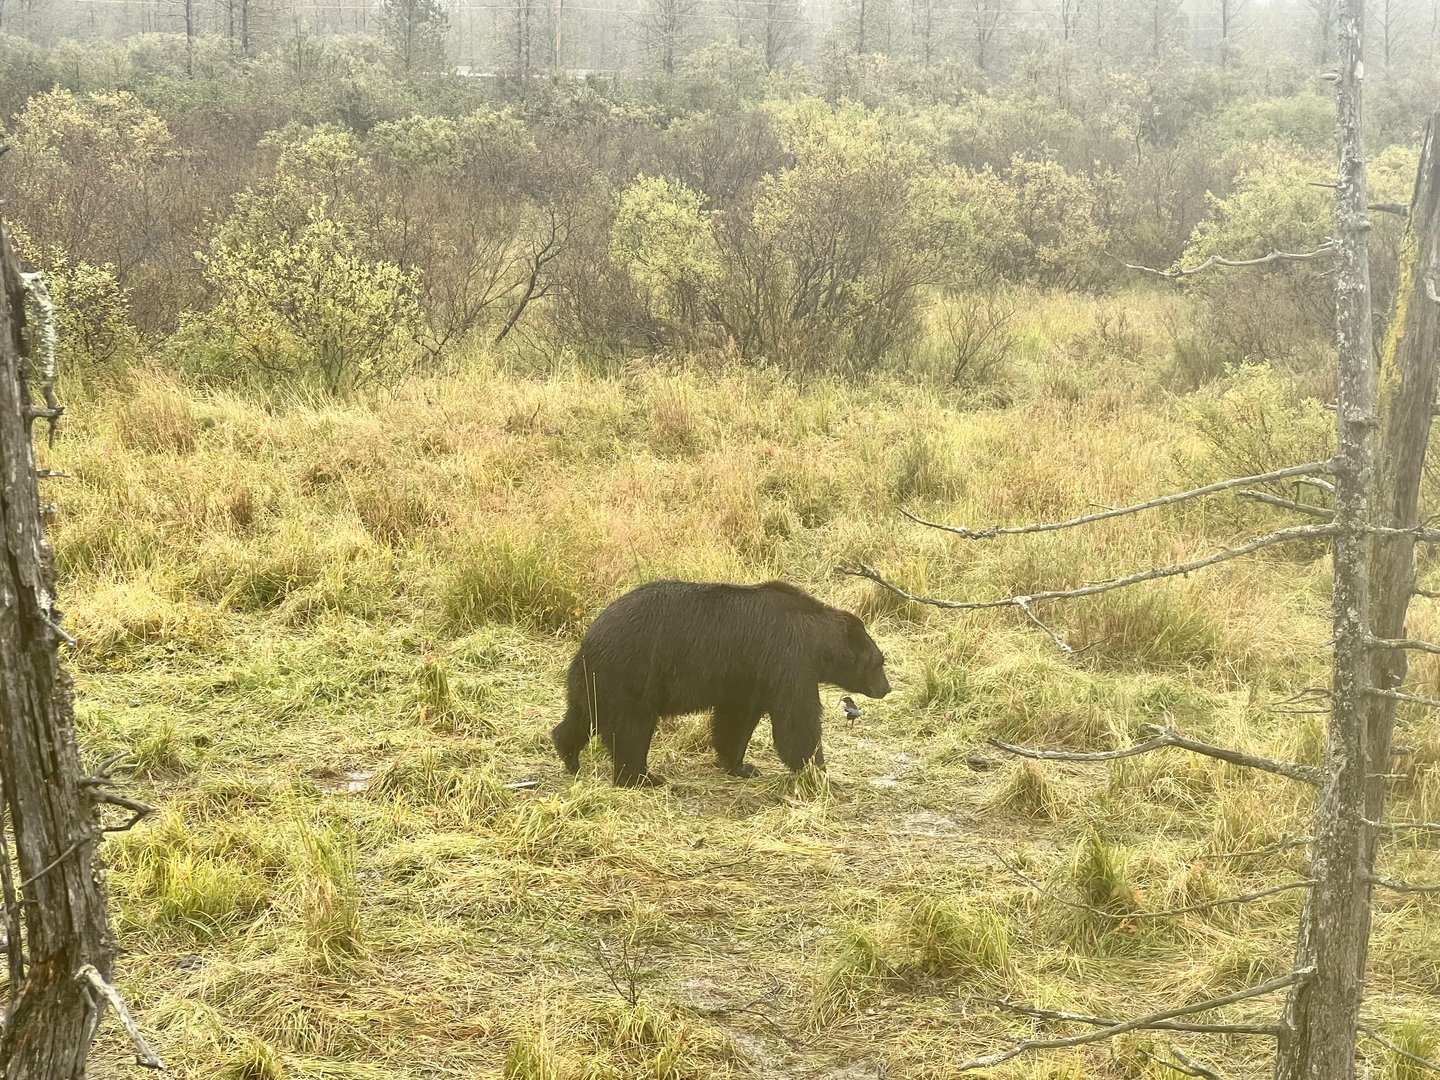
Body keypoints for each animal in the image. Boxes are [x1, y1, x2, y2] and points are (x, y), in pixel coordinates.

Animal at [550, 579, 891, 787]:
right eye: (880, 662)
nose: (886, 688)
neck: (818, 641)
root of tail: (589, 637)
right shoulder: (787, 660)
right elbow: (797, 721)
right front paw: (818, 770)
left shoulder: (747, 677)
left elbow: (735, 721)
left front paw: (742, 765)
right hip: (632, 672)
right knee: (630, 728)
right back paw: (642, 777)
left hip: (596, 679)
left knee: (581, 716)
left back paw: (569, 754)